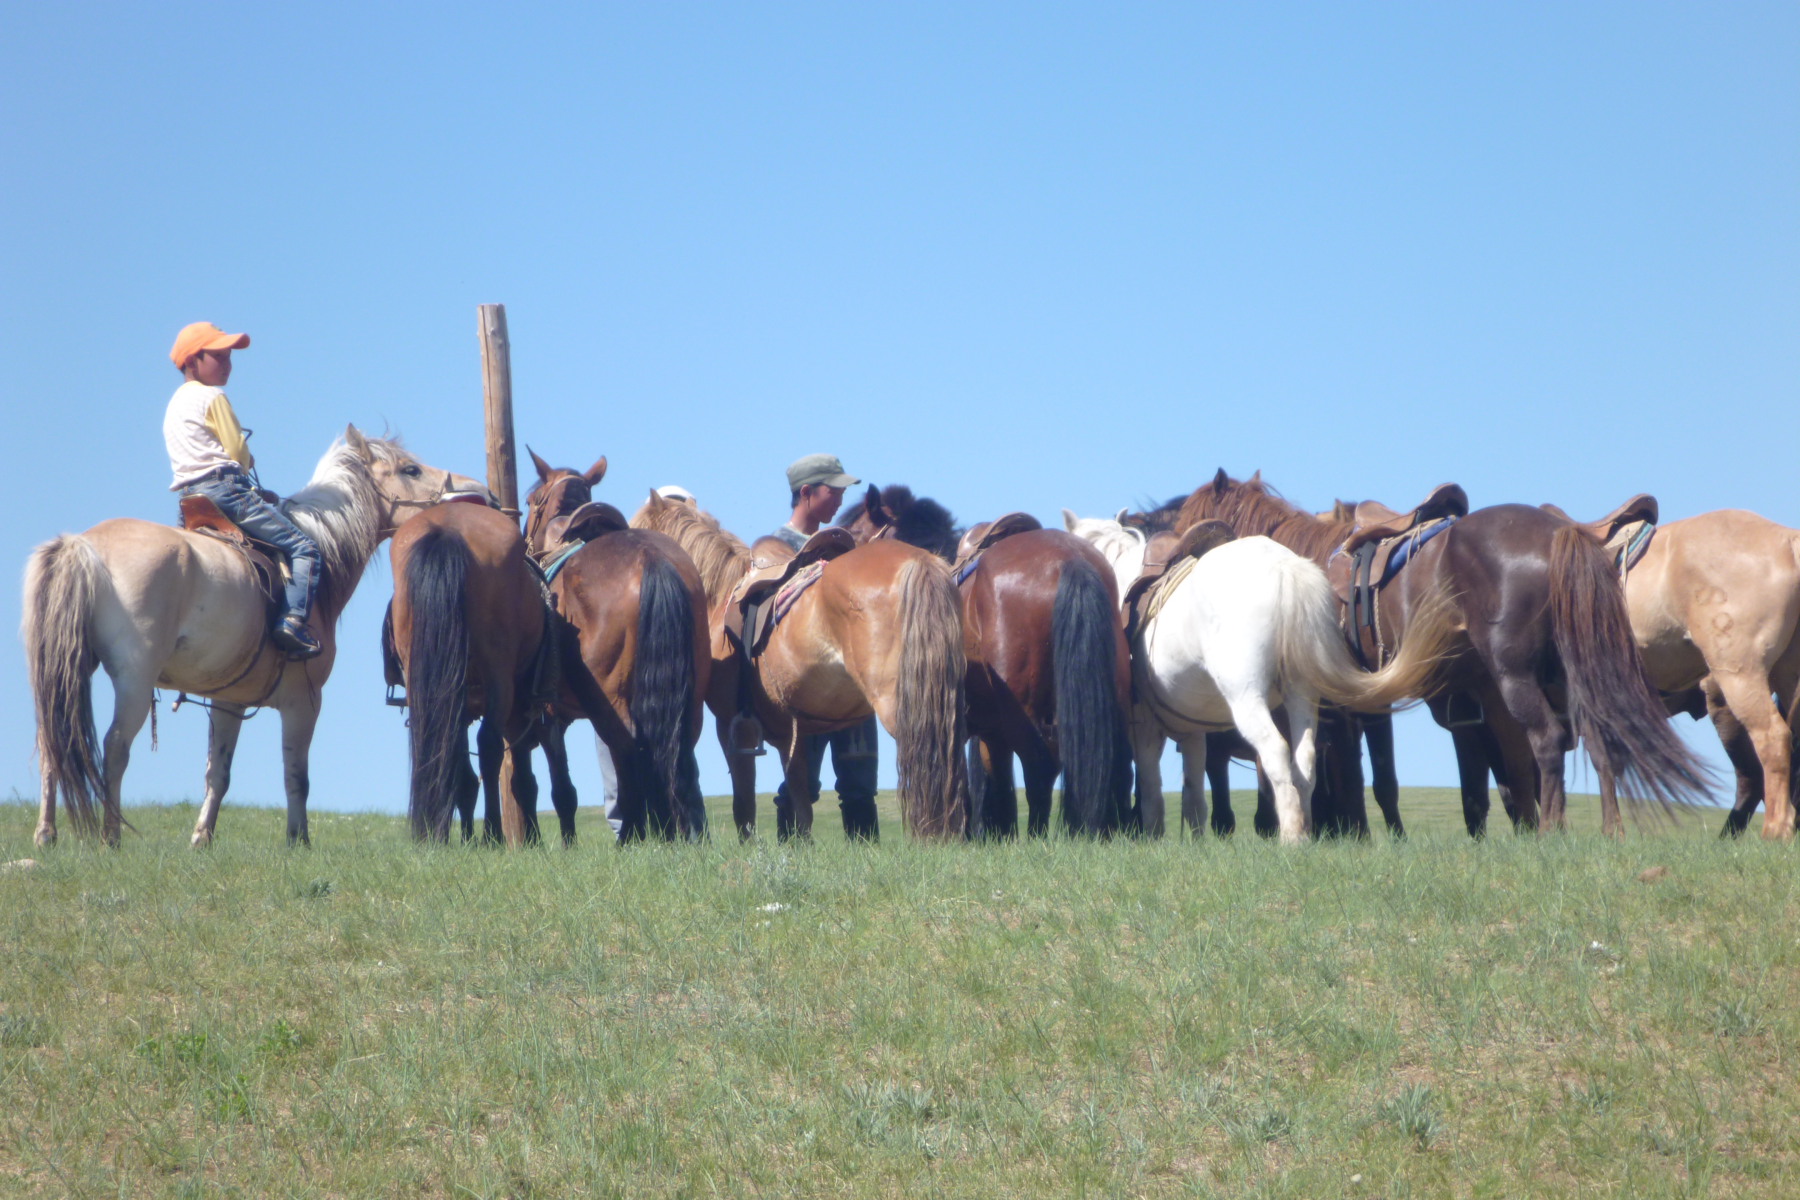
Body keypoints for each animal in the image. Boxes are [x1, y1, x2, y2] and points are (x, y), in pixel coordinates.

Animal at [23, 427, 487, 847]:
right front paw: (298, 840)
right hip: (135, 680)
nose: (479, 492)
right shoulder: (304, 702)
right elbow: (296, 776)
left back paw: (46, 834)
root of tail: (80, 546)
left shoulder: (229, 701)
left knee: (51, 741)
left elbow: (218, 773)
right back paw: (110, 836)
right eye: (411, 469)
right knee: (115, 747)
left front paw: (202, 838)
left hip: (60, 670)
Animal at [523, 452, 711, 842]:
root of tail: (650, 559)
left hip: (612, 702)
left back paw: (637, 834)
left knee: (629, 754)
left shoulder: (549, 714)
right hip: (689, 698)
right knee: (675, 750)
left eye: (532, 501)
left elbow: (563, 790)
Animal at [631, 491, 969, 839]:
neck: (721, 595)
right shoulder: (790, 732)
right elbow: (799, 803)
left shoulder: (732, 726)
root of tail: (920, 563)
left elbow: (745, 805)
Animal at [1065, 512, 1456, 841]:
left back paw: (1292, 837)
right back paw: (1304, 827)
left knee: (1275, 751)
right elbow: (1193, 794)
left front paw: (1155, 838)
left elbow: (1151, 789)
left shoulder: (1145, 725)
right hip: (1301, 695)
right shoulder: (1191, 730)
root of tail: (1285, 572)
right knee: (1304, 758)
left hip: (1246, 698)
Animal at [1169, 470, 1713, 835]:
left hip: (1515, 675)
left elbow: (1356, 778)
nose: (1173, 560)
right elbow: (1417, 784)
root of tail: (1560, 533)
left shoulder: (1348, 705)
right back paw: (1608, 832)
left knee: (1547, 741)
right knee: (1599, 746)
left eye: (1191, 518)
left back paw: (1552, 832)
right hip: (1572, 674)